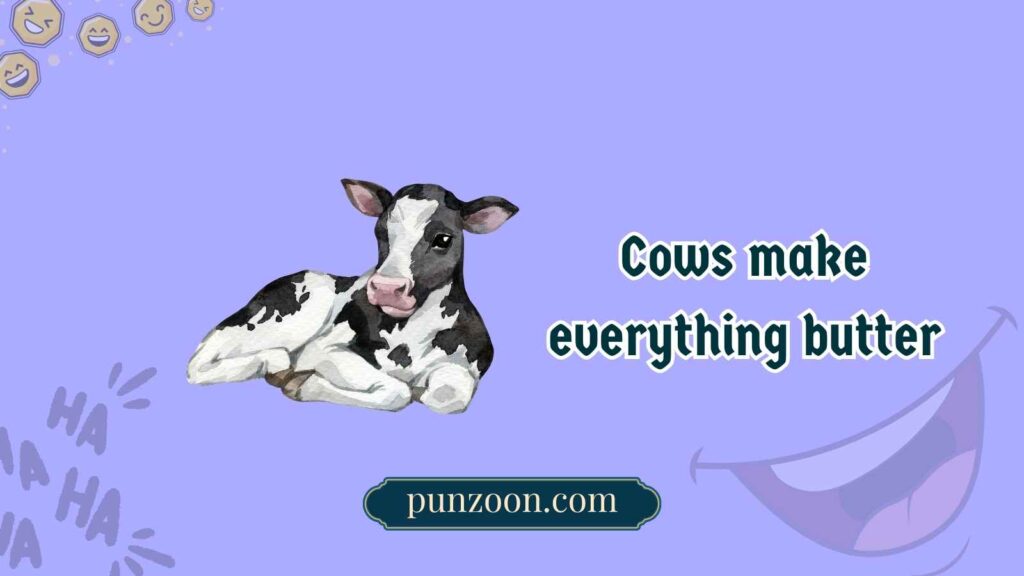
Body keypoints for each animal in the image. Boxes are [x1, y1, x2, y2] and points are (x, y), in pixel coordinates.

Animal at [186, 179, 518, 414]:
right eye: (380, 232)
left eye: (443, 239)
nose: (385, 288)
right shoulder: (323, 349)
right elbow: (397, 392)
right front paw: (303, 383)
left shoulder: (467, 363)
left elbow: (447, 397)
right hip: (297, 311)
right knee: (200, 360)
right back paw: (273, 361)